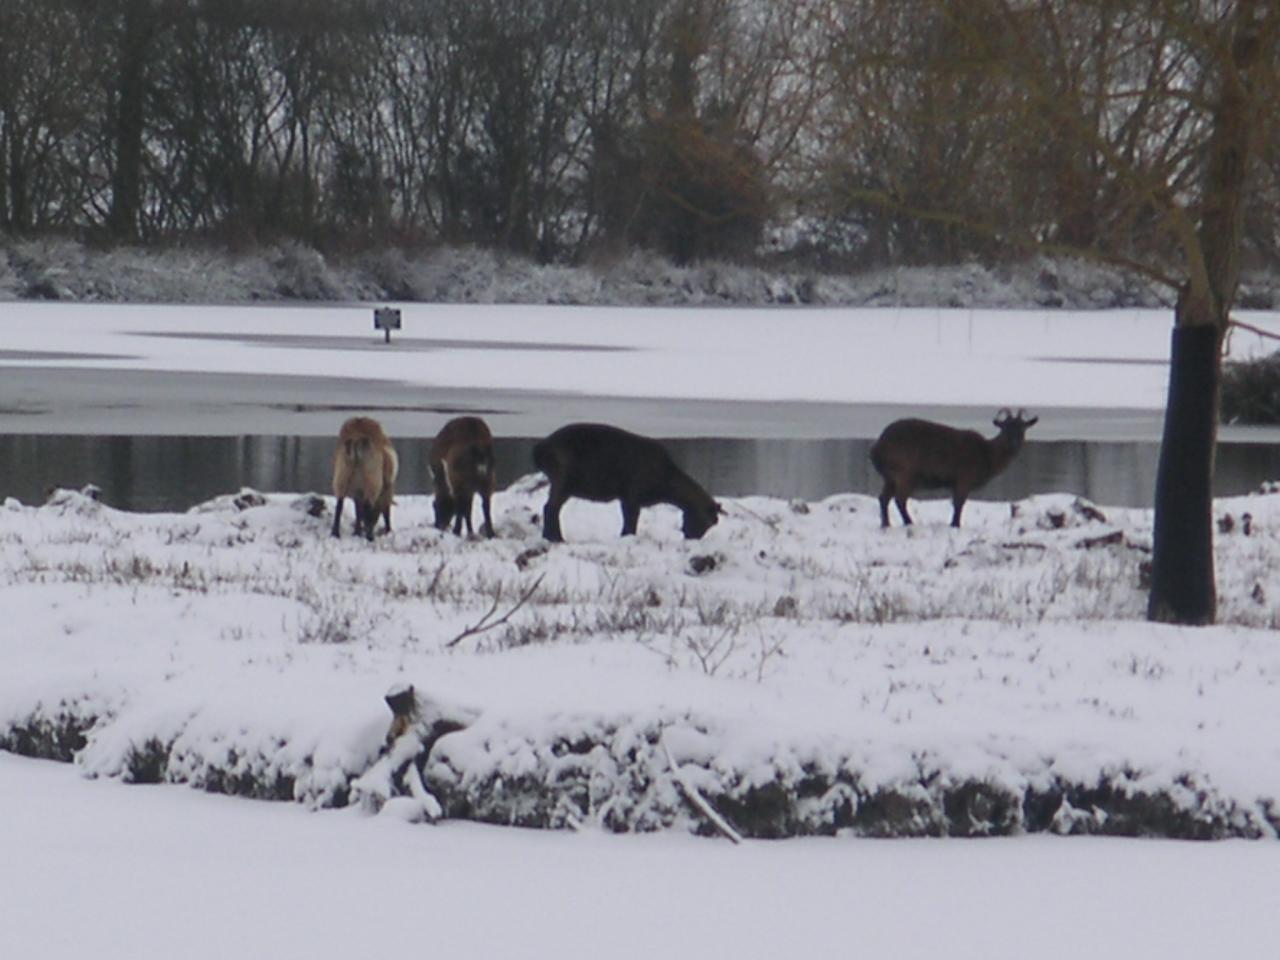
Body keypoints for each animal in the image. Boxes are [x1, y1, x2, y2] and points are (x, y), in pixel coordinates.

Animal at [870, 404, 1039, 527]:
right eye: (1005, 428)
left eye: (1023, 428)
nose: (1014, 444)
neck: (987, 456)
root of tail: (876, 449)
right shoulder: (964, 477)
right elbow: (959, 504)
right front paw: (955, 524)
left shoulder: (957, 482)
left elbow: (956, 504)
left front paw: (953, 523)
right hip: (904, 471)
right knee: (899, 499)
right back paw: (908, 522)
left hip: (890, 476)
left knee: (883, 498)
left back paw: (886, 524)